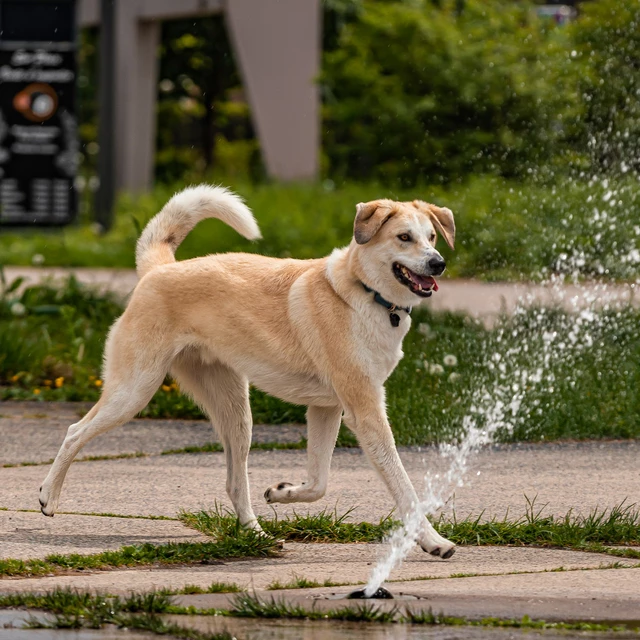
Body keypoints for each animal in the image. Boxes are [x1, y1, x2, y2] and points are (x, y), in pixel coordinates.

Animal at [38, 185, 456, 560]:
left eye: (432, 236)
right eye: (404, 237)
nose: (438, 263)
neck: (365, 294)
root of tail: (161, 269)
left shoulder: (328, 409)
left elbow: (319, 482)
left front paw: (283, 492)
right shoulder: (366, 411)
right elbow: (402, 485)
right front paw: (433, 541)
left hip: (236, 416)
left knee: (234, 483)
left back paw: (257, 536)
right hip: (134, 391)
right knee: (74, 432)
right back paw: (48, 497)